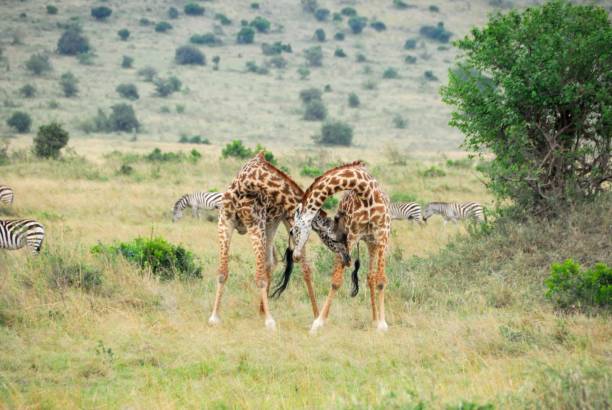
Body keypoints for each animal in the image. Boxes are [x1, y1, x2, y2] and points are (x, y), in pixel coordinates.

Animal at [208, 153, 350, 330]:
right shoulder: (225, 221)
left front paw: (269, 321)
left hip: (281, 221)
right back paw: (262, 310)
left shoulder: (255, 223)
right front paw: (214, 317)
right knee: (271, 262)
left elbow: (259, 276)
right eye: (335, 237)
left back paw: (315, 315)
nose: (347, 258)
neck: (246, 183)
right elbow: (222, 273)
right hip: (271, 225)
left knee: (304, 269)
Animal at [288, 160, 392, 334]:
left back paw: (376, 320)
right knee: (368, 276)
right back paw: (374, 320)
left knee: (371, 276)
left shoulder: (382, 235)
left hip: (372, 242)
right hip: (362, 242)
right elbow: (336, 281)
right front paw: (318, 323)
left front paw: (383, 324)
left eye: (293, 229)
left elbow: (381, 280)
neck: (366, 193)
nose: (296, 256)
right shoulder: (351, 237)